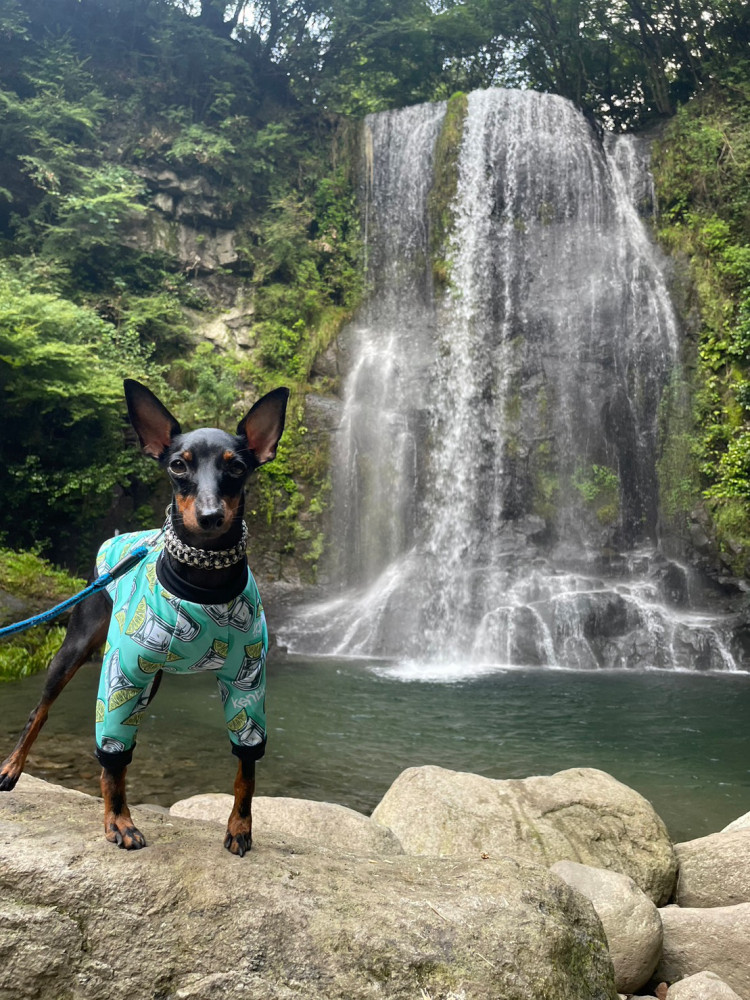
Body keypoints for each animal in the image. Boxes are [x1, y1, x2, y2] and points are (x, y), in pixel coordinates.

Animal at [0, 378, 290, 856]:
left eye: (236, 467)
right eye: (178, 465)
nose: (210, 515)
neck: (204, 581)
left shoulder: (247, 683)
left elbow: (246, 767)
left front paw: (240, 826)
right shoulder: (125, 672)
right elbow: (114, 757)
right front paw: (119, 821)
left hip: (148, 682)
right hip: (79, 649)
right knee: (41, 713)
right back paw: (11, 768)